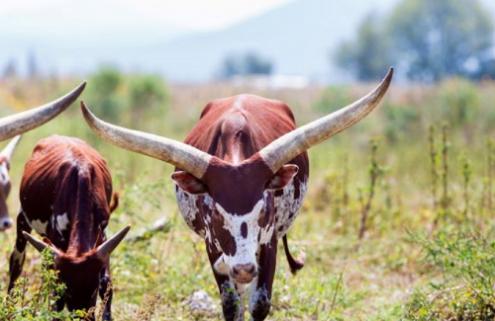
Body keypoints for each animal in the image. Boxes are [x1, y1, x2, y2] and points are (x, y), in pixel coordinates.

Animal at [7, 136, 130, 320]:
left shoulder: (102, 238)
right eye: (68, 290)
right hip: (23, 220)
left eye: (93, 289)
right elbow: (55, 296)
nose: (82, 315)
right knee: (16, 263)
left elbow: (106, 283)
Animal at [79, 67, 394, 318]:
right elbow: (231, 305)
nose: (243, 268)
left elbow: (260, 303)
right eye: (217, 214)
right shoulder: (213, 245)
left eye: (263, 210)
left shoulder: (268, 241)